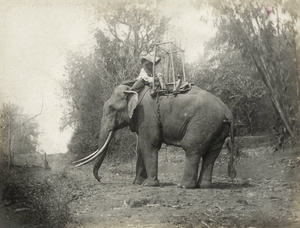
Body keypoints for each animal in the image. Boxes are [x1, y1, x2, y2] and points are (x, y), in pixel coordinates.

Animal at [74, 83, 236, 189]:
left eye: (112, 109)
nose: (100, 179)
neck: (134, 90)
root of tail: (228, 113)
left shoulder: (146, 116)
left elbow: (149, 145)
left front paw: (148, 185)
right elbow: (141, 148)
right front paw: (137, 183)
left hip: (202, 123)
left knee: (192, 149)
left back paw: (183, 186)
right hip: (216, 128)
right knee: (212, 154)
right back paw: (204, 186)